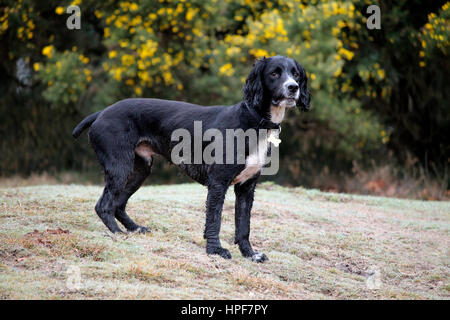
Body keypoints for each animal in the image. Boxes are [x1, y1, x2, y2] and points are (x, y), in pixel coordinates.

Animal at [72, 56, 310, 262]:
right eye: (274, 73)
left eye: (296, 74)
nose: (293, 87)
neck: (254, 121)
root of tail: (101, 113)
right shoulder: (218, 183)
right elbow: (214, 219)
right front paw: (215, 250)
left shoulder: (246, 187)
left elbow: (243, 226)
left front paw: (250, 254)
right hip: (119, 167)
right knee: (104, 205)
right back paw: (117, 233)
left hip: (140, 170)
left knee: (118, 204)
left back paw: (134, 228)